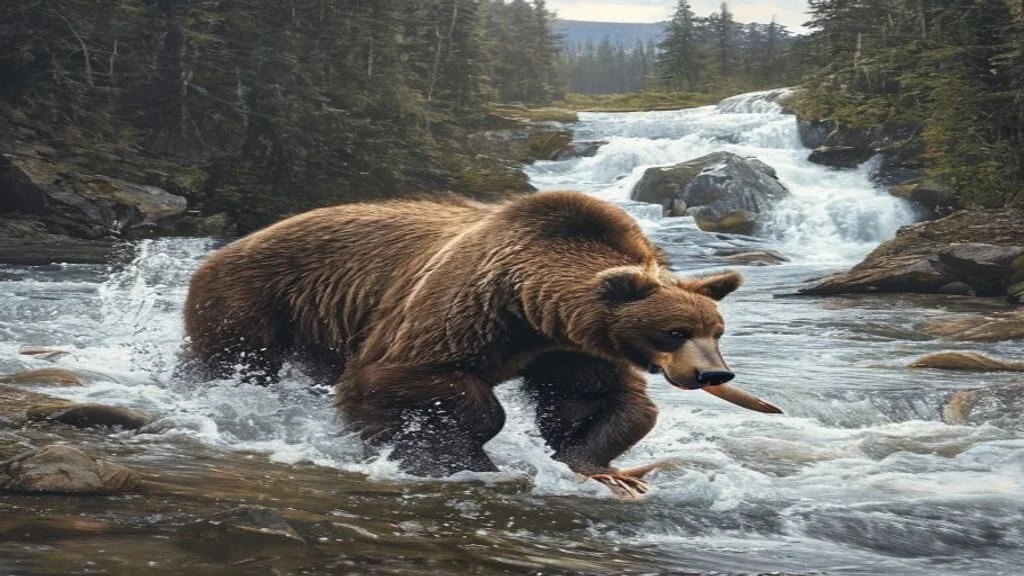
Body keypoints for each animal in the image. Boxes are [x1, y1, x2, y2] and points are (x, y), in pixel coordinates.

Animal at [183, 191, 775, 497]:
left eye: (717, 331)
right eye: (674, 332)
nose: (713, 374)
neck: (531, 309)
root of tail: (220, 250)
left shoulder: (571, 349)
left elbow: (593, 401)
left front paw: (597, 465)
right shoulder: (463, 308)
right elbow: (402, 376)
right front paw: (461, 455)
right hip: (255, 300)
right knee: (226, 360)